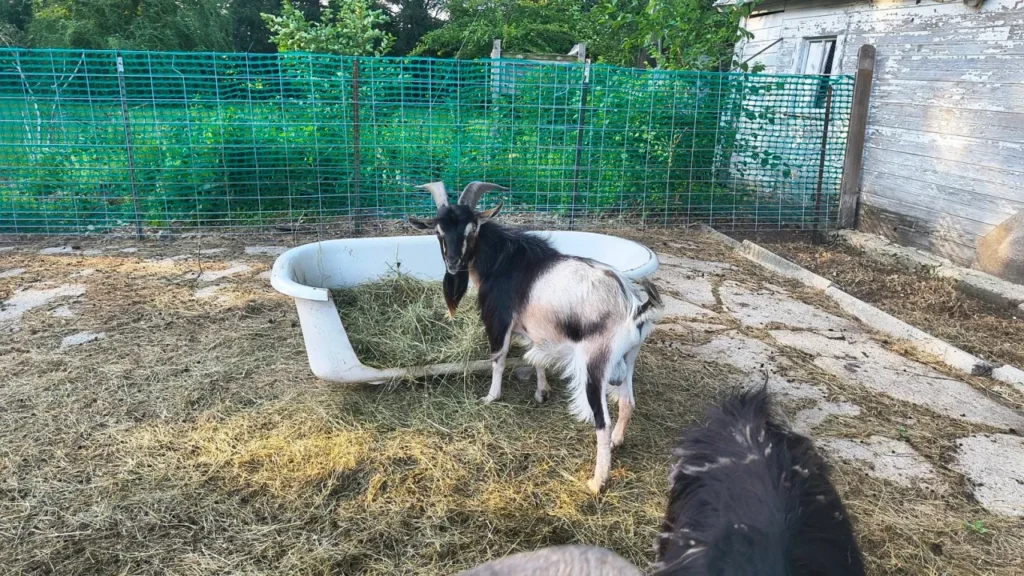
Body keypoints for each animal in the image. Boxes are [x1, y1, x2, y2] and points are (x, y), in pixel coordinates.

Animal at [408, 181, 663, 493]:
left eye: (472, 229)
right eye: (439, 231)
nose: (454, 263)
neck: (502, 261)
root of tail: (633, 308)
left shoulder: (499, 320)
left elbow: (499, 359)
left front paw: (491, 397)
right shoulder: (536, 329)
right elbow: (536, 358)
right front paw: (542, 392)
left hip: (595, 364)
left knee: (601, 421)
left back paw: (596, 481)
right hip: (627, 360)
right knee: (627, 403)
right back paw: (618, 440)